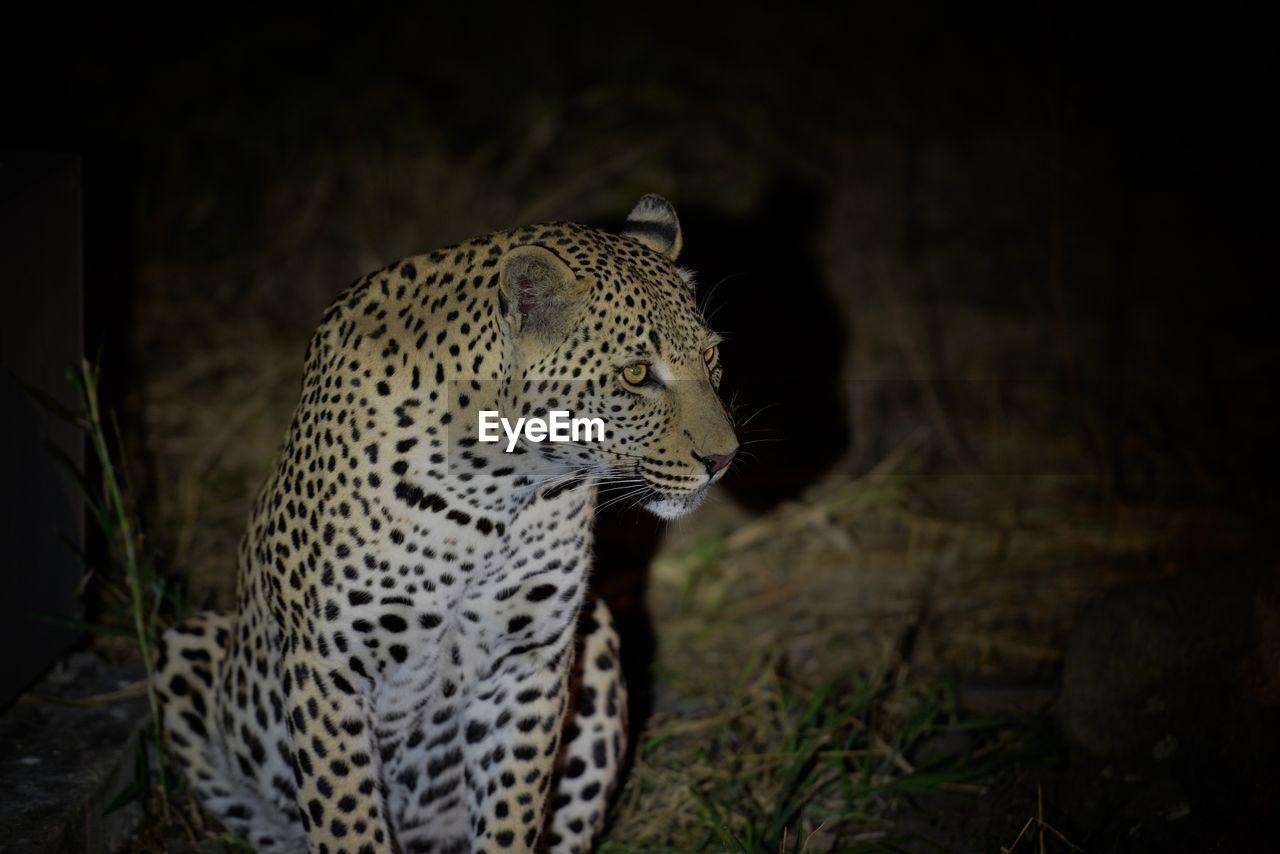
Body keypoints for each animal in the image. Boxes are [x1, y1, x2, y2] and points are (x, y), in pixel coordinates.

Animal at [157, 195, 742, 854]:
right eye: (637, 374)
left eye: (711, 356)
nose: (724, 459)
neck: (496, 496)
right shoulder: (327, 669)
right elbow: (347, 820)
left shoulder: (527, 660)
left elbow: (512, 813)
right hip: (187, 651)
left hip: (598, 641)